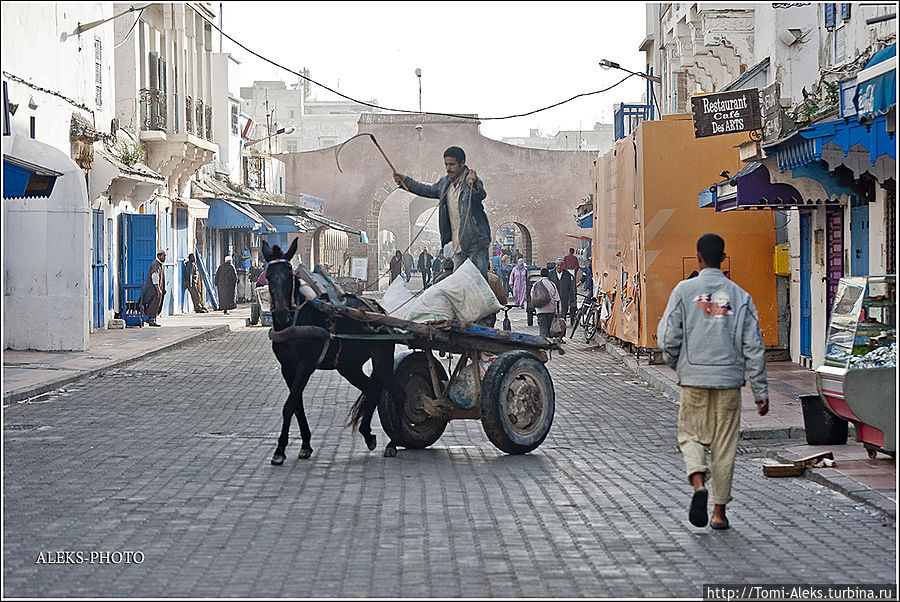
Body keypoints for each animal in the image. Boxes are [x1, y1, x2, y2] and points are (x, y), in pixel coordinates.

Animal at [260, 237, 400, 462]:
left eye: (290, 276)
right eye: (269, 276)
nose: (282, 314)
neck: (295, 322)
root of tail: (378, 309)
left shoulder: (305, 365)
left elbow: (289, 405)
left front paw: (280, 450)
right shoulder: (287, 367)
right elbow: (297, 405)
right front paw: (305, 444)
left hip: (382, 355)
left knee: (394, 389)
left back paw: (394, 441)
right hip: (348, 364)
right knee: (371, 388)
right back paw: (368, 433)